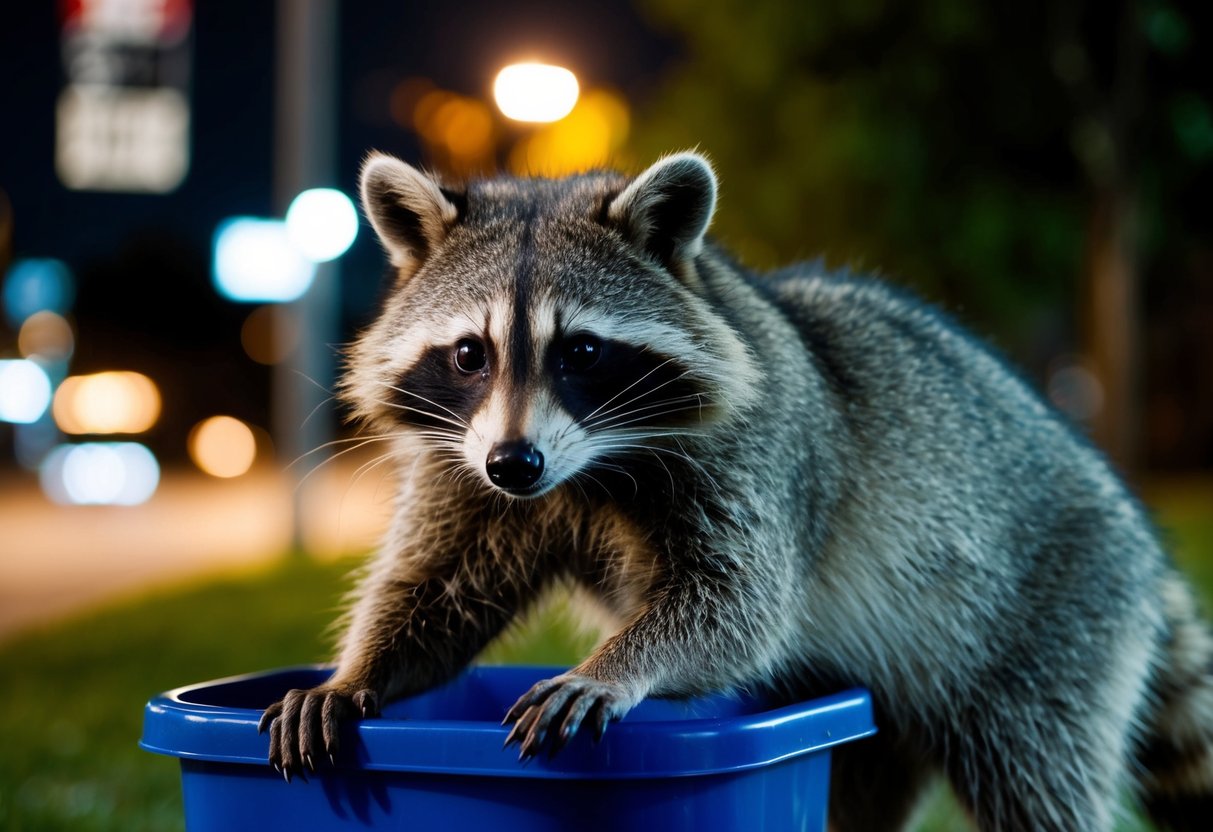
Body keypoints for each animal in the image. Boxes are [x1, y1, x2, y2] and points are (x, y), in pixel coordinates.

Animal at [260, 151, 1213, 831]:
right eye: (468, 353)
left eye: (582, 352)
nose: (515, 465)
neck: (584, 466)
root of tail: (1138, 543)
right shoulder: (465, 462)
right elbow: (436, 591)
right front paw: (359, 672)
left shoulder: (756, 457)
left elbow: (738, 606)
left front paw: (618, 665)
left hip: (1052, 634)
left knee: (1036, 775)